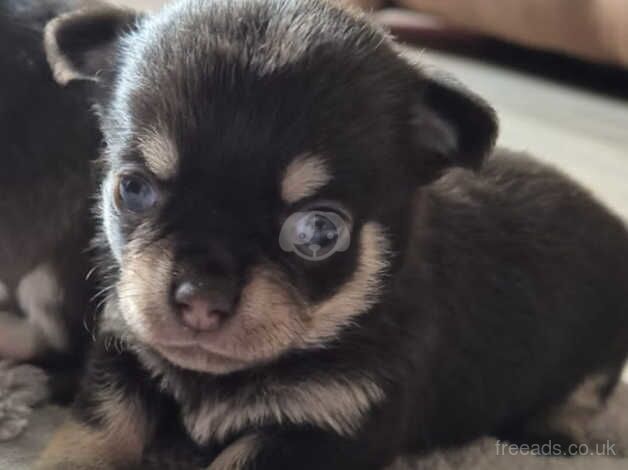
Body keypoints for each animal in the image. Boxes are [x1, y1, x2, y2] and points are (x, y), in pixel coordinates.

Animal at [38, 0, 628, 470]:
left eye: (320, 232)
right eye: (133, 189)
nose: (200, 300)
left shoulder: (329, 425)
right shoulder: (124, 356)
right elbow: (98, 426)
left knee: (587, 390)